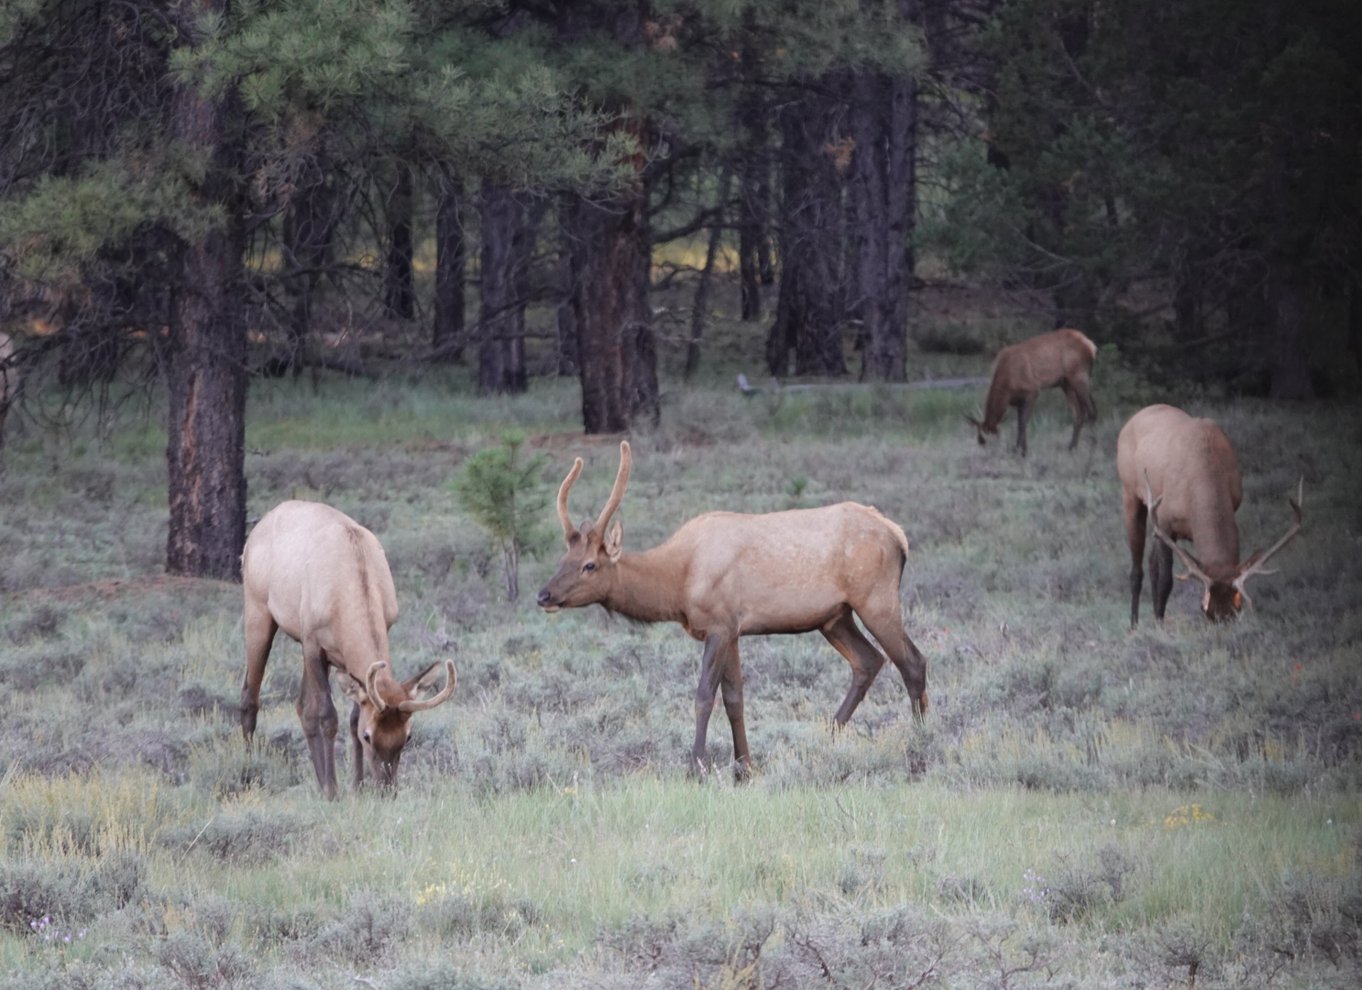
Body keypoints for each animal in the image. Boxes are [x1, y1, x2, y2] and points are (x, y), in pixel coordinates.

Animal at [241, 498, 457, 800]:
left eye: (408, 736)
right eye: (370, 736)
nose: (386, 789)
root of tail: (258, 526)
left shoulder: (351, 654)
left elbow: (351, 718)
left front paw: (356, 786)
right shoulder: (312, 642)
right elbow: (327, 716)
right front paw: (333, 789)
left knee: (301, 706)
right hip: (258, 610)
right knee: (250, 696)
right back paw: (250, 772)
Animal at [531, 443, 926, 784]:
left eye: (590, 565)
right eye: (564, 558)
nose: (543, 594)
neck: (679, 583)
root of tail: (899, 535)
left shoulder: (719, 625)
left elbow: (704, 696)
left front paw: (696, 768)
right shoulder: (733, 630)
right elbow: (735, 699)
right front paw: (744, 770)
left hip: (876, 600)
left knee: (912, 662)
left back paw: (920, 753)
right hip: (835, 617)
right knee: (869, 660)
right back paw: (826, 740)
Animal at [964, 330, 1100, 457]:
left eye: (987, 440)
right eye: (980, 440)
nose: (991, 454)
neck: (1007, 388)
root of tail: (1092, 346)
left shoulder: (1032, 391)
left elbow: (1023, 422)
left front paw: (1021, 451)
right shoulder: (1018, 401)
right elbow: (1019, 423)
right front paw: (1019, 450)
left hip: (1079, 375)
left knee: (1092, 410)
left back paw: (1093, 446)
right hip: (1066, 383)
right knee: (1079, 413)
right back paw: (1072, 448)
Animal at [1122, 405, 1302, 626]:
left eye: (1237, 607)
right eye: (1205, 608)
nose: (1221, 619)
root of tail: (1135, 416)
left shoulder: (1234, 502)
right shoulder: (1163, 520)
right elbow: (1165, 579)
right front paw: (1159, 623)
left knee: (1151, 560)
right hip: (1129, 493)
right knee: (1137, 568)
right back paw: (1134, 624)